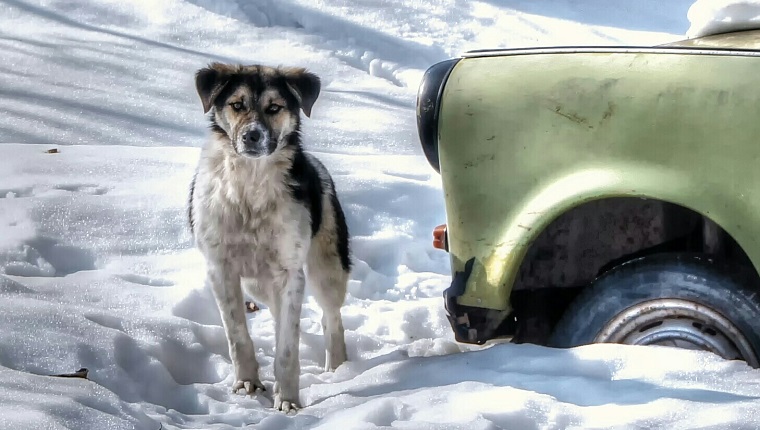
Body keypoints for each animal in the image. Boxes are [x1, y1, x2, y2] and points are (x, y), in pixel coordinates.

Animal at [187, 63, 350, 414]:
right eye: (237, 104)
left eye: (274, 108)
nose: (252, 135)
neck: (250, 188)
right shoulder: (221, 269)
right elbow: (237, 334)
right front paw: (247, 384)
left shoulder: (291, 274)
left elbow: (288, 348)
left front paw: (288, 400)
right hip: (258, 284)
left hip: (327, 270)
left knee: (332, 318)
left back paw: (339, 369)